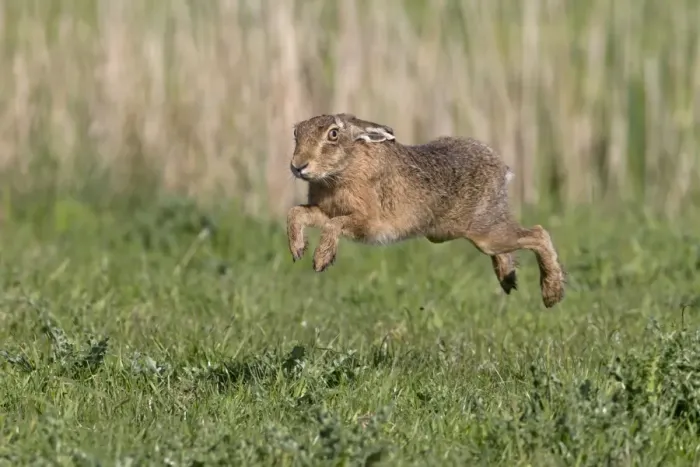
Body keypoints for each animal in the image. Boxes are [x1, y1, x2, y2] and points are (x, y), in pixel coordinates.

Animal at [286, 113, 565, 308]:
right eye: (296, 132)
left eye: (333, 134)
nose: (298, 166)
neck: (344, 168)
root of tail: (502, 169)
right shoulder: (324, 211)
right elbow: (296, 213)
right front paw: (298, 249)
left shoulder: (367, 222)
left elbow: (335, 225)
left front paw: (321, 259)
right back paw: (507, 276)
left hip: (486, 233)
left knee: (538, 233)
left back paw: (552, 292)